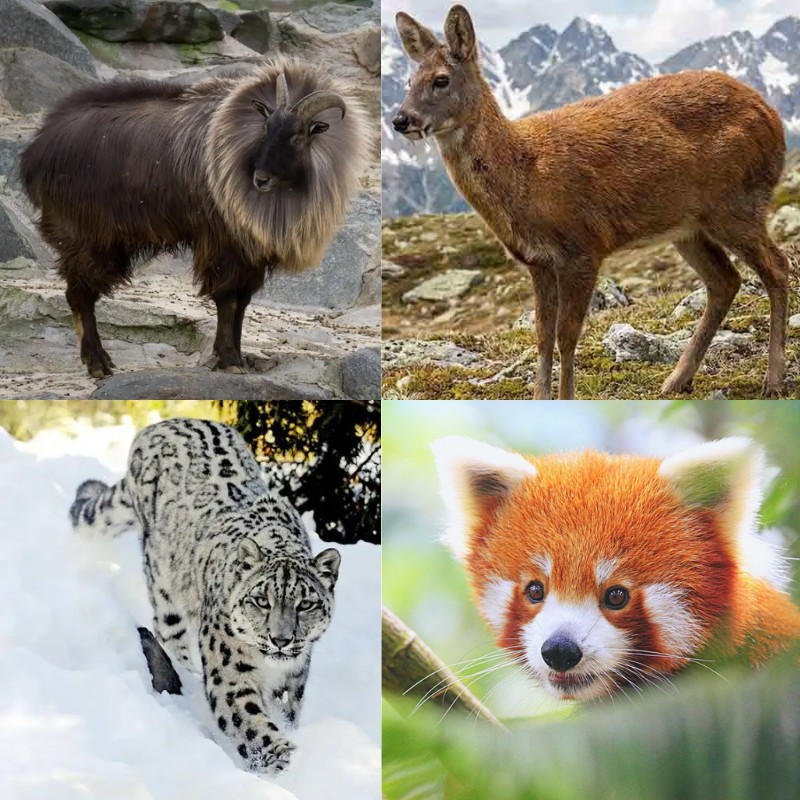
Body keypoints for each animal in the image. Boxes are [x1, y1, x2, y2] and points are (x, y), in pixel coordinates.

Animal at [69, 417, 341, 775]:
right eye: (261, 600)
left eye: (305, 603)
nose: (281, 639)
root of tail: (161, 425)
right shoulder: (230, 672)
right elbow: (251, 724)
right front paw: (287, 763)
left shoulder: (292, 681)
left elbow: (285, 713)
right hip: (164, 587)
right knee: (170, 635)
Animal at [392, 5, 790, 399]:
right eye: (409, 82)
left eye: (441, 79)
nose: (400, 119)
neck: (525, 175)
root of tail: (774, 119)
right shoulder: (538, 262)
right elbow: (542, 337)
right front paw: (539, 398)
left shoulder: (582, 248)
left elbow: (566, 336)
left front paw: (566, 397)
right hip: (688, 227)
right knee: (726, 281)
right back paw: (676, 380)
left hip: (736, 204)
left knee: (777, 266)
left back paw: (773, 381)